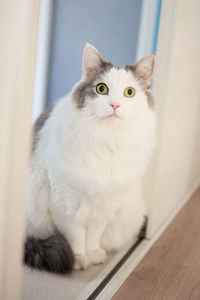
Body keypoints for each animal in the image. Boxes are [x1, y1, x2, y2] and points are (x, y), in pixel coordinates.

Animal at [24, 43, 156, 274]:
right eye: (101, 89)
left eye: (129, 92)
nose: (115, 105)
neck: (107, 141)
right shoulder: (64, 202)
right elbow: (75, 236)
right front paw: (79, 258)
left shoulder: (106, 205)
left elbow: (94, 235)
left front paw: (93, 255)